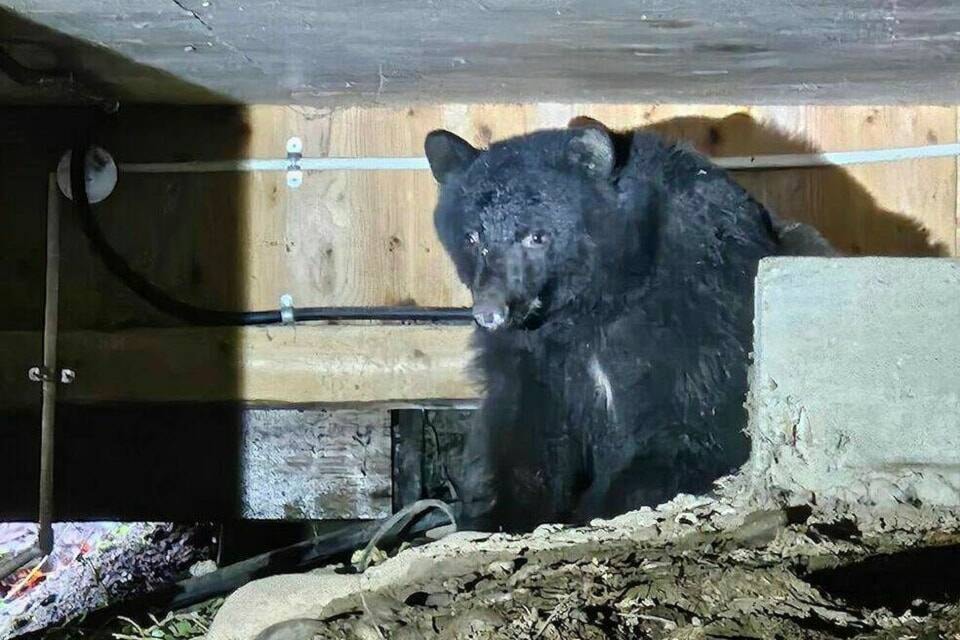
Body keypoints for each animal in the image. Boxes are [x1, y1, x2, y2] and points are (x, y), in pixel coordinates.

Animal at [424, 117, 828, 532]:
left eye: (537, 235)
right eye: (472, 237)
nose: (490, 312)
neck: (595, 303)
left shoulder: (698, 306)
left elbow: (694, 418)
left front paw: (605, 505)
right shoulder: (531, 353)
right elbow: (525, 426)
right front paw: (502, 513)